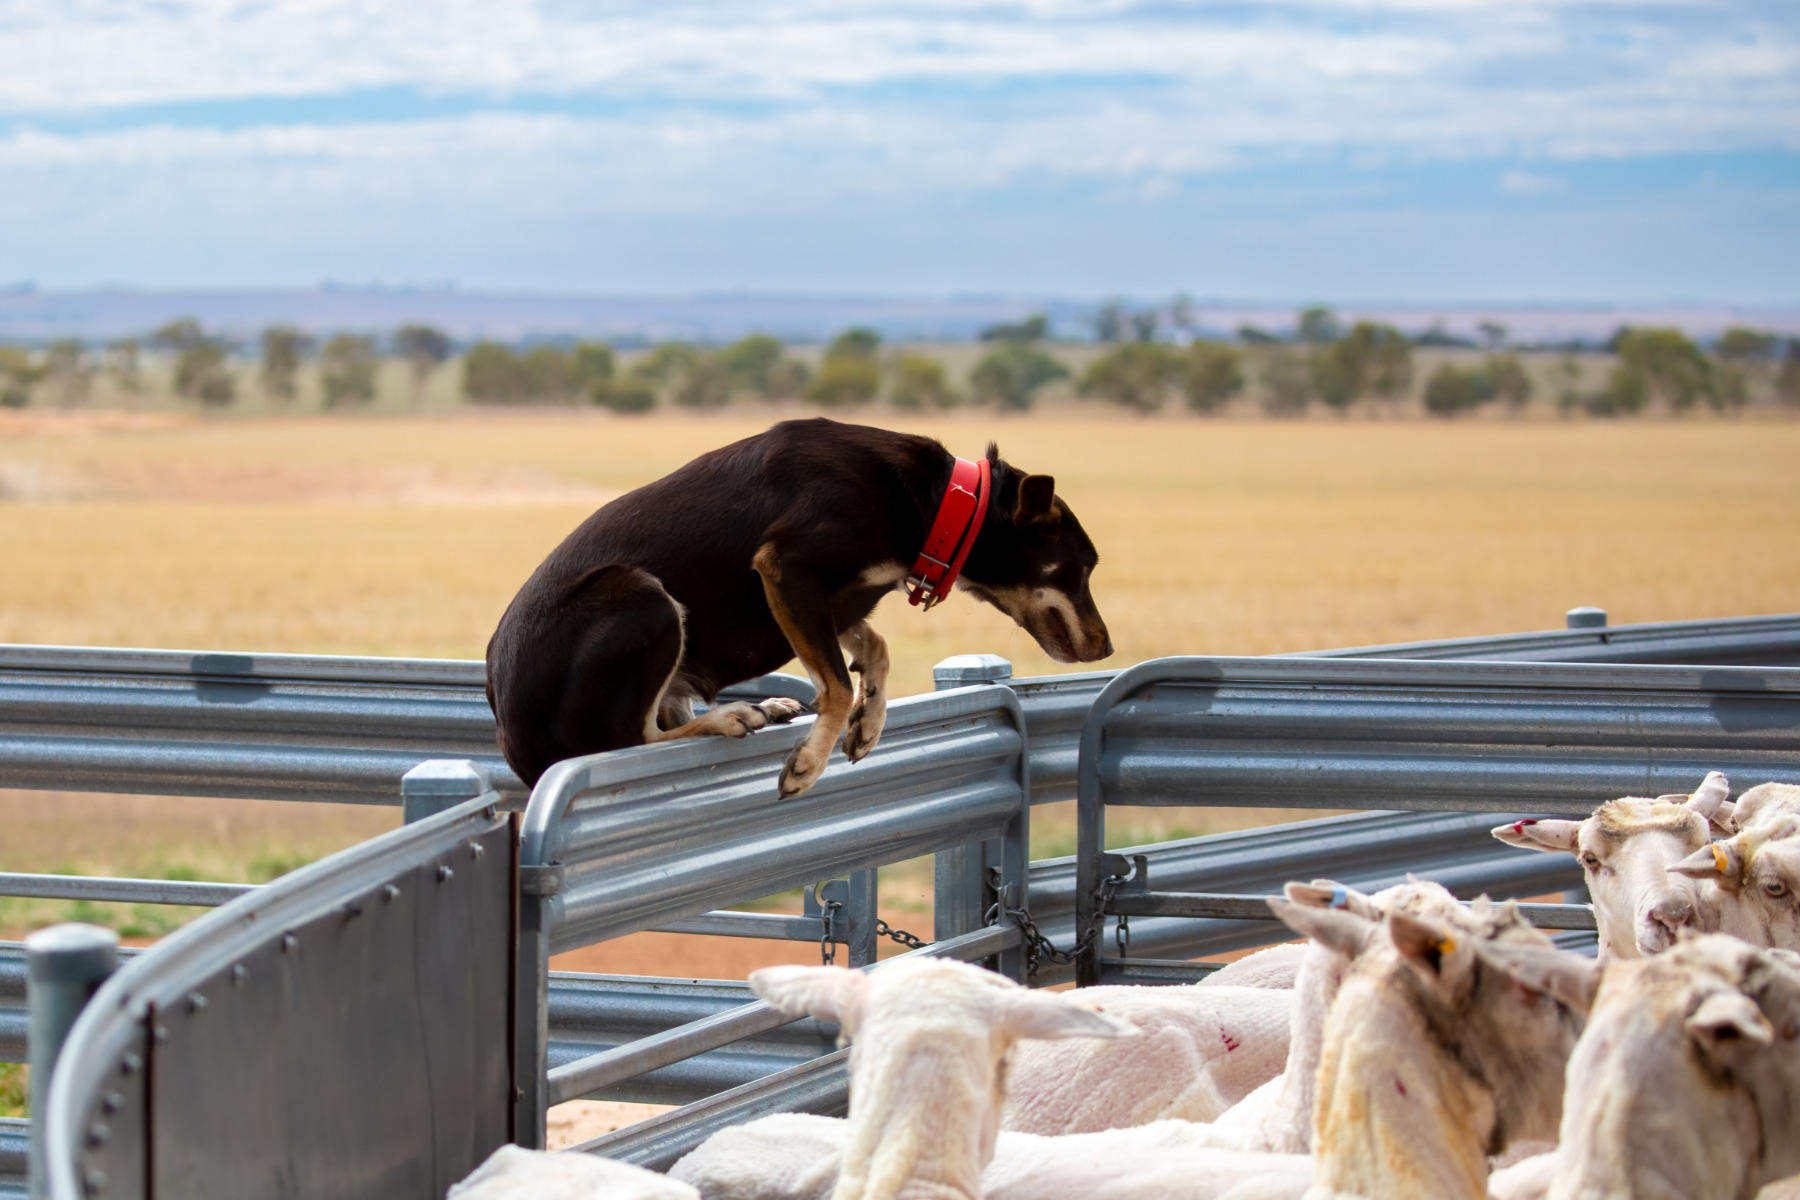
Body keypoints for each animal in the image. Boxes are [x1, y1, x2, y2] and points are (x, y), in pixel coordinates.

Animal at [489, 415, 1108, 798]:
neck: (943, 505)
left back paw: (766, 706)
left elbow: (871, 652)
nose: (1107, 648)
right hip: (642, 596)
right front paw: (810, 762)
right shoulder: (787, 569)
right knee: (630, 738)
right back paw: (731, 716)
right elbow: (835, 684)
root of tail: (512, 736)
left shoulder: (831, 599)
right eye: (1080, 569)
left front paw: (870, 721)